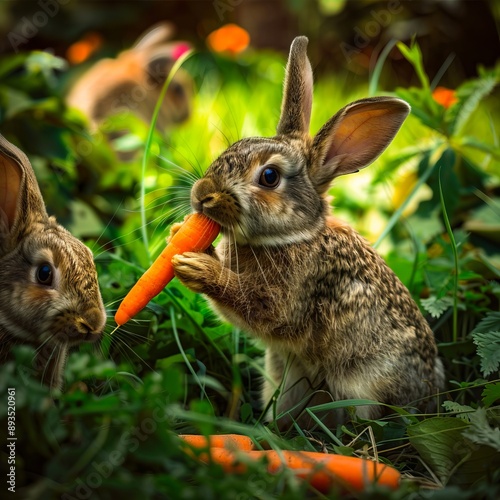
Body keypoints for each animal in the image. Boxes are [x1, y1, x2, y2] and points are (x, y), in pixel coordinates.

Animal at [172, 36, 446, 430]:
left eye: (269, 177)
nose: (202, 195)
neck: (296, 235)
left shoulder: (289, 299)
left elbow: (251, 305)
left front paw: (197, 267)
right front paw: (180, 235)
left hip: (361, 387)